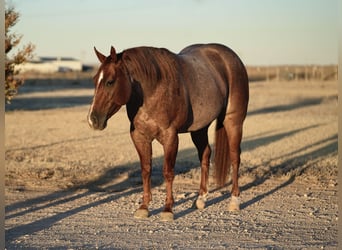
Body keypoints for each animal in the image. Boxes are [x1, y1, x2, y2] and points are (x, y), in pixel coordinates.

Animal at [87, 43, 248, 221]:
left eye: (110, 82)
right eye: (95, 80)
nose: (93, 120)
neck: (154, 89)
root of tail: (231, 57)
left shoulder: (170, 137)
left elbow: (168, 172)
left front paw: (168, 209)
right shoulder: (140, 137)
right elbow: (146, 170)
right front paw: (144, 207)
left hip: (233, 121)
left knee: (235, 157)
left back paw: (234, 201)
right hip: (199, 128)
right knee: (205, 155)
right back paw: (200, 199)